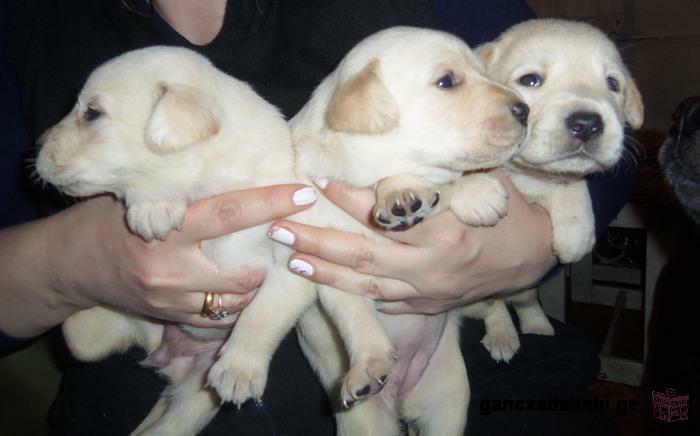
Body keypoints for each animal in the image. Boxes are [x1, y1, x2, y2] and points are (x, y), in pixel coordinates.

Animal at [288, 27, 524, 436]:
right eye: (447, 81)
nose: (526, 110)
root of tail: (404, 402)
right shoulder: (327, 267)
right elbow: (356, 320)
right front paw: (368, 365)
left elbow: (438, 181)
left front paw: (459, 190)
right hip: (368, 424)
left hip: (448, 397)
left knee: (493, 302)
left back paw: (503, 335)